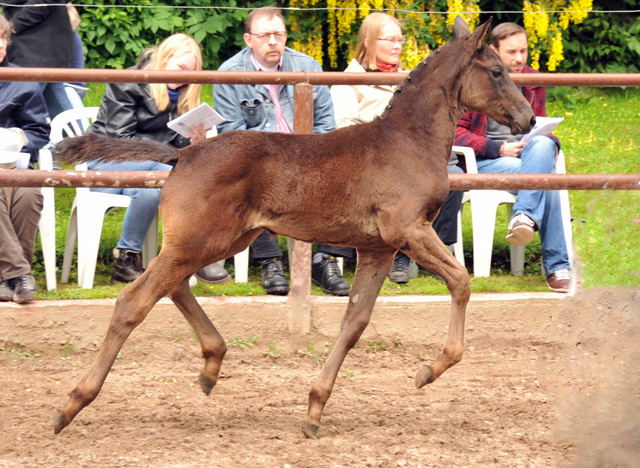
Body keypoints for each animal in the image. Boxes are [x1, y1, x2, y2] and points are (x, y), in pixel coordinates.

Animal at [53, 17, 536, 438]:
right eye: (496, 71)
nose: (528, 118)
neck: (408, 141)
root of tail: (182, 154)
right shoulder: (409, 231)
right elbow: (460, 281)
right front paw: (429, 371)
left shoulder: (378, 248)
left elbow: (355, 322)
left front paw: (314, 410)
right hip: (199, 240)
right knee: (134, 300)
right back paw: (71, 404)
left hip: (220, 239)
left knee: (174, 287)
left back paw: (211, 366)